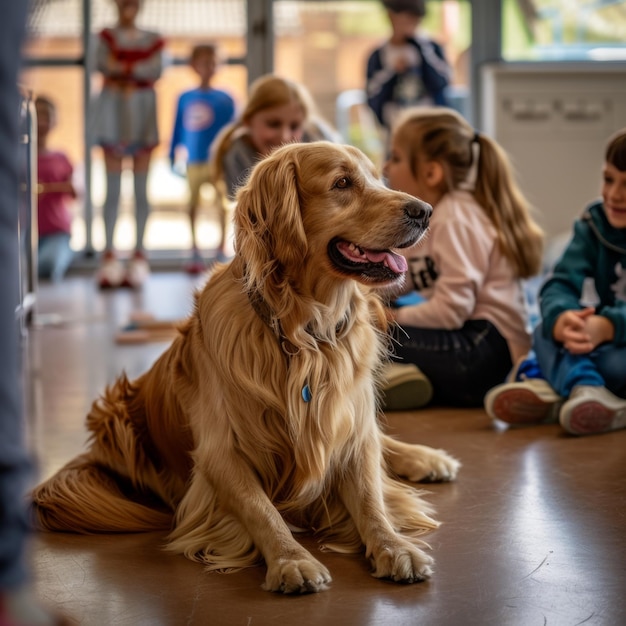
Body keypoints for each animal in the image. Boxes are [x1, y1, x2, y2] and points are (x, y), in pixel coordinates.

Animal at [33, 143, 458, 596]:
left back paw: (429, 458)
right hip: (114, 416)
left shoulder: (349, 428)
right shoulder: (219, 454)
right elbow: (260, 508)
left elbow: (370, 496)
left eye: (378, 178)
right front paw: (292, 560)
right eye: (342, 183)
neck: (305, 333)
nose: (425, 211)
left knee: (381, 442)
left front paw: (394, 547)